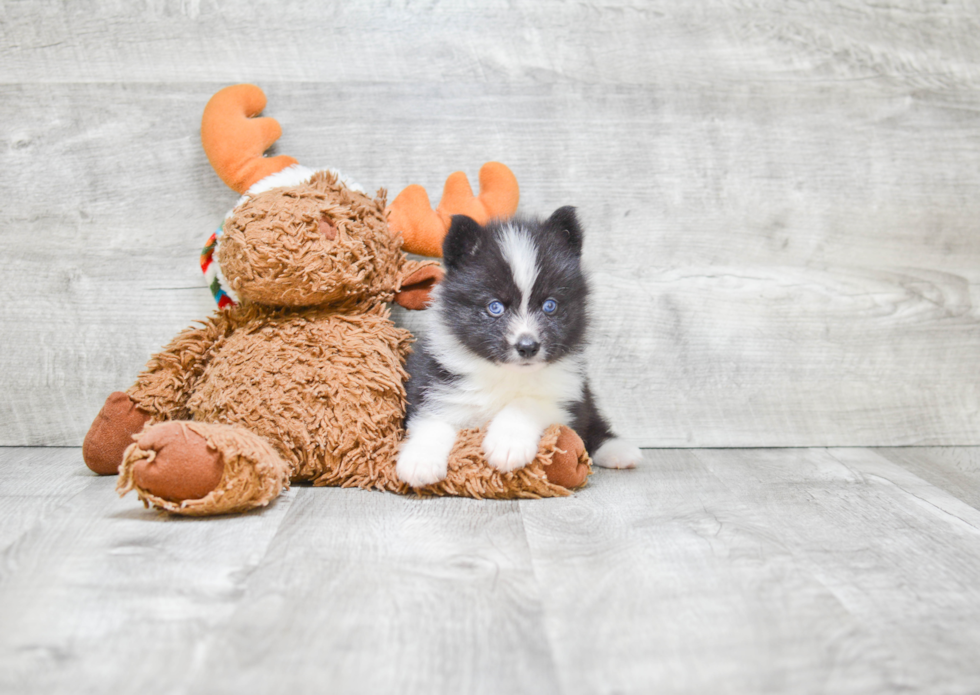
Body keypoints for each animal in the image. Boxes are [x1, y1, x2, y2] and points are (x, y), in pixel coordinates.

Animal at [394, 208, 640, 490]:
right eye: (495, 307)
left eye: (550, 305)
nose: (527, 346)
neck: (506, 373)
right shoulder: (436, 381)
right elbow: (433, 418)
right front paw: (419, 461)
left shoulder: (566, 393)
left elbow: (529, 403)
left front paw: (507, 444)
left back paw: (617, 449)